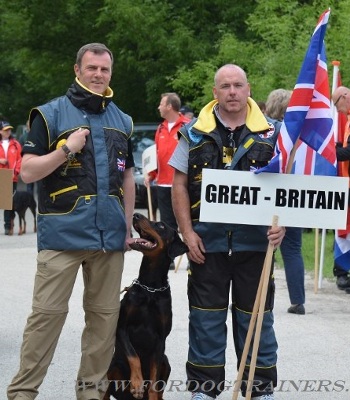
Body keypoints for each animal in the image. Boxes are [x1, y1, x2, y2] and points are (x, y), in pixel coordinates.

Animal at [104, 211, 189, 398]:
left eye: (161, 225)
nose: (136, 214)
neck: (151, 289)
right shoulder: (122, 327)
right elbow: (133, 355)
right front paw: (137, 384)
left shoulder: (160, 339)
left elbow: (153, 380)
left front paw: (145, 388)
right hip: (112, 368)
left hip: (166, 362)